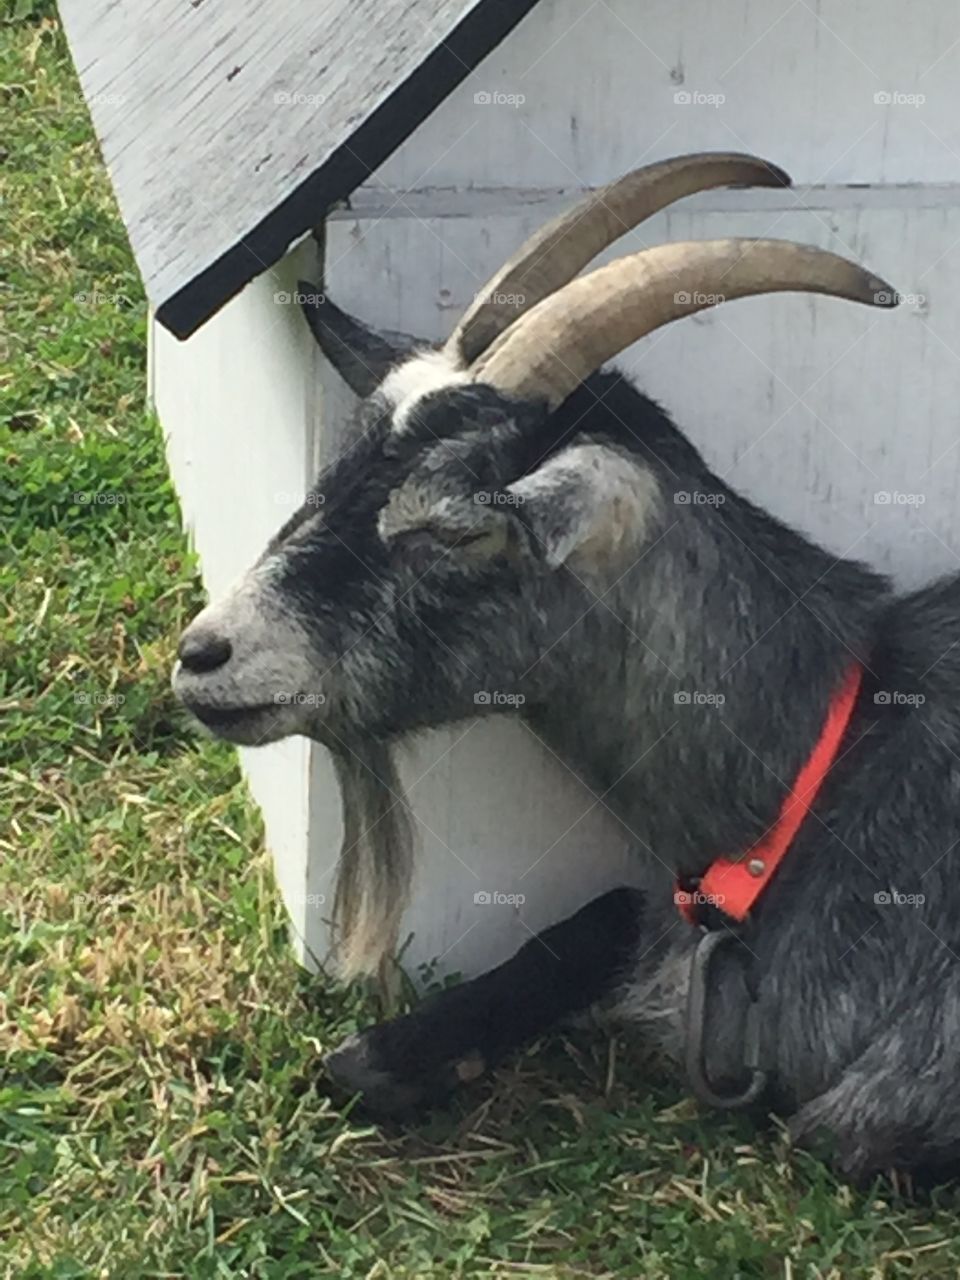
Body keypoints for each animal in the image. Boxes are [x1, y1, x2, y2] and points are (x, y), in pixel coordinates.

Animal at [173, 152, 960, 1180]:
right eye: (336, 468)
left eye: (452, 527)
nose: (204, 654)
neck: (821, 774)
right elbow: (602, 917)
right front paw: (401, 1052)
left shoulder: (896, 1096)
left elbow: (837, 1125)